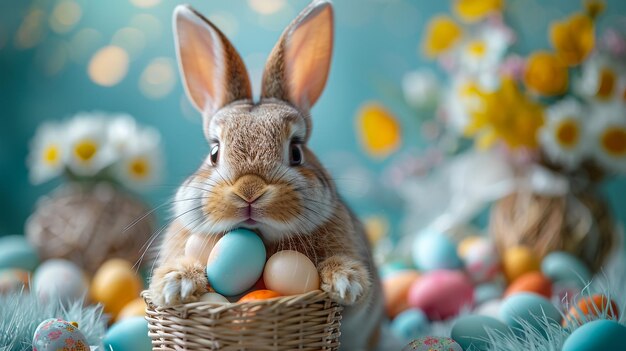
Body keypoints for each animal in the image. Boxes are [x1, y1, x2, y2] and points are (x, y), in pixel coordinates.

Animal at [149, 1, 382, 350]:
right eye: (214, 152)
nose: (249, 191)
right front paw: (175, 283)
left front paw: (346, 281)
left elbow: (353, 295)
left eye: (296, 152)